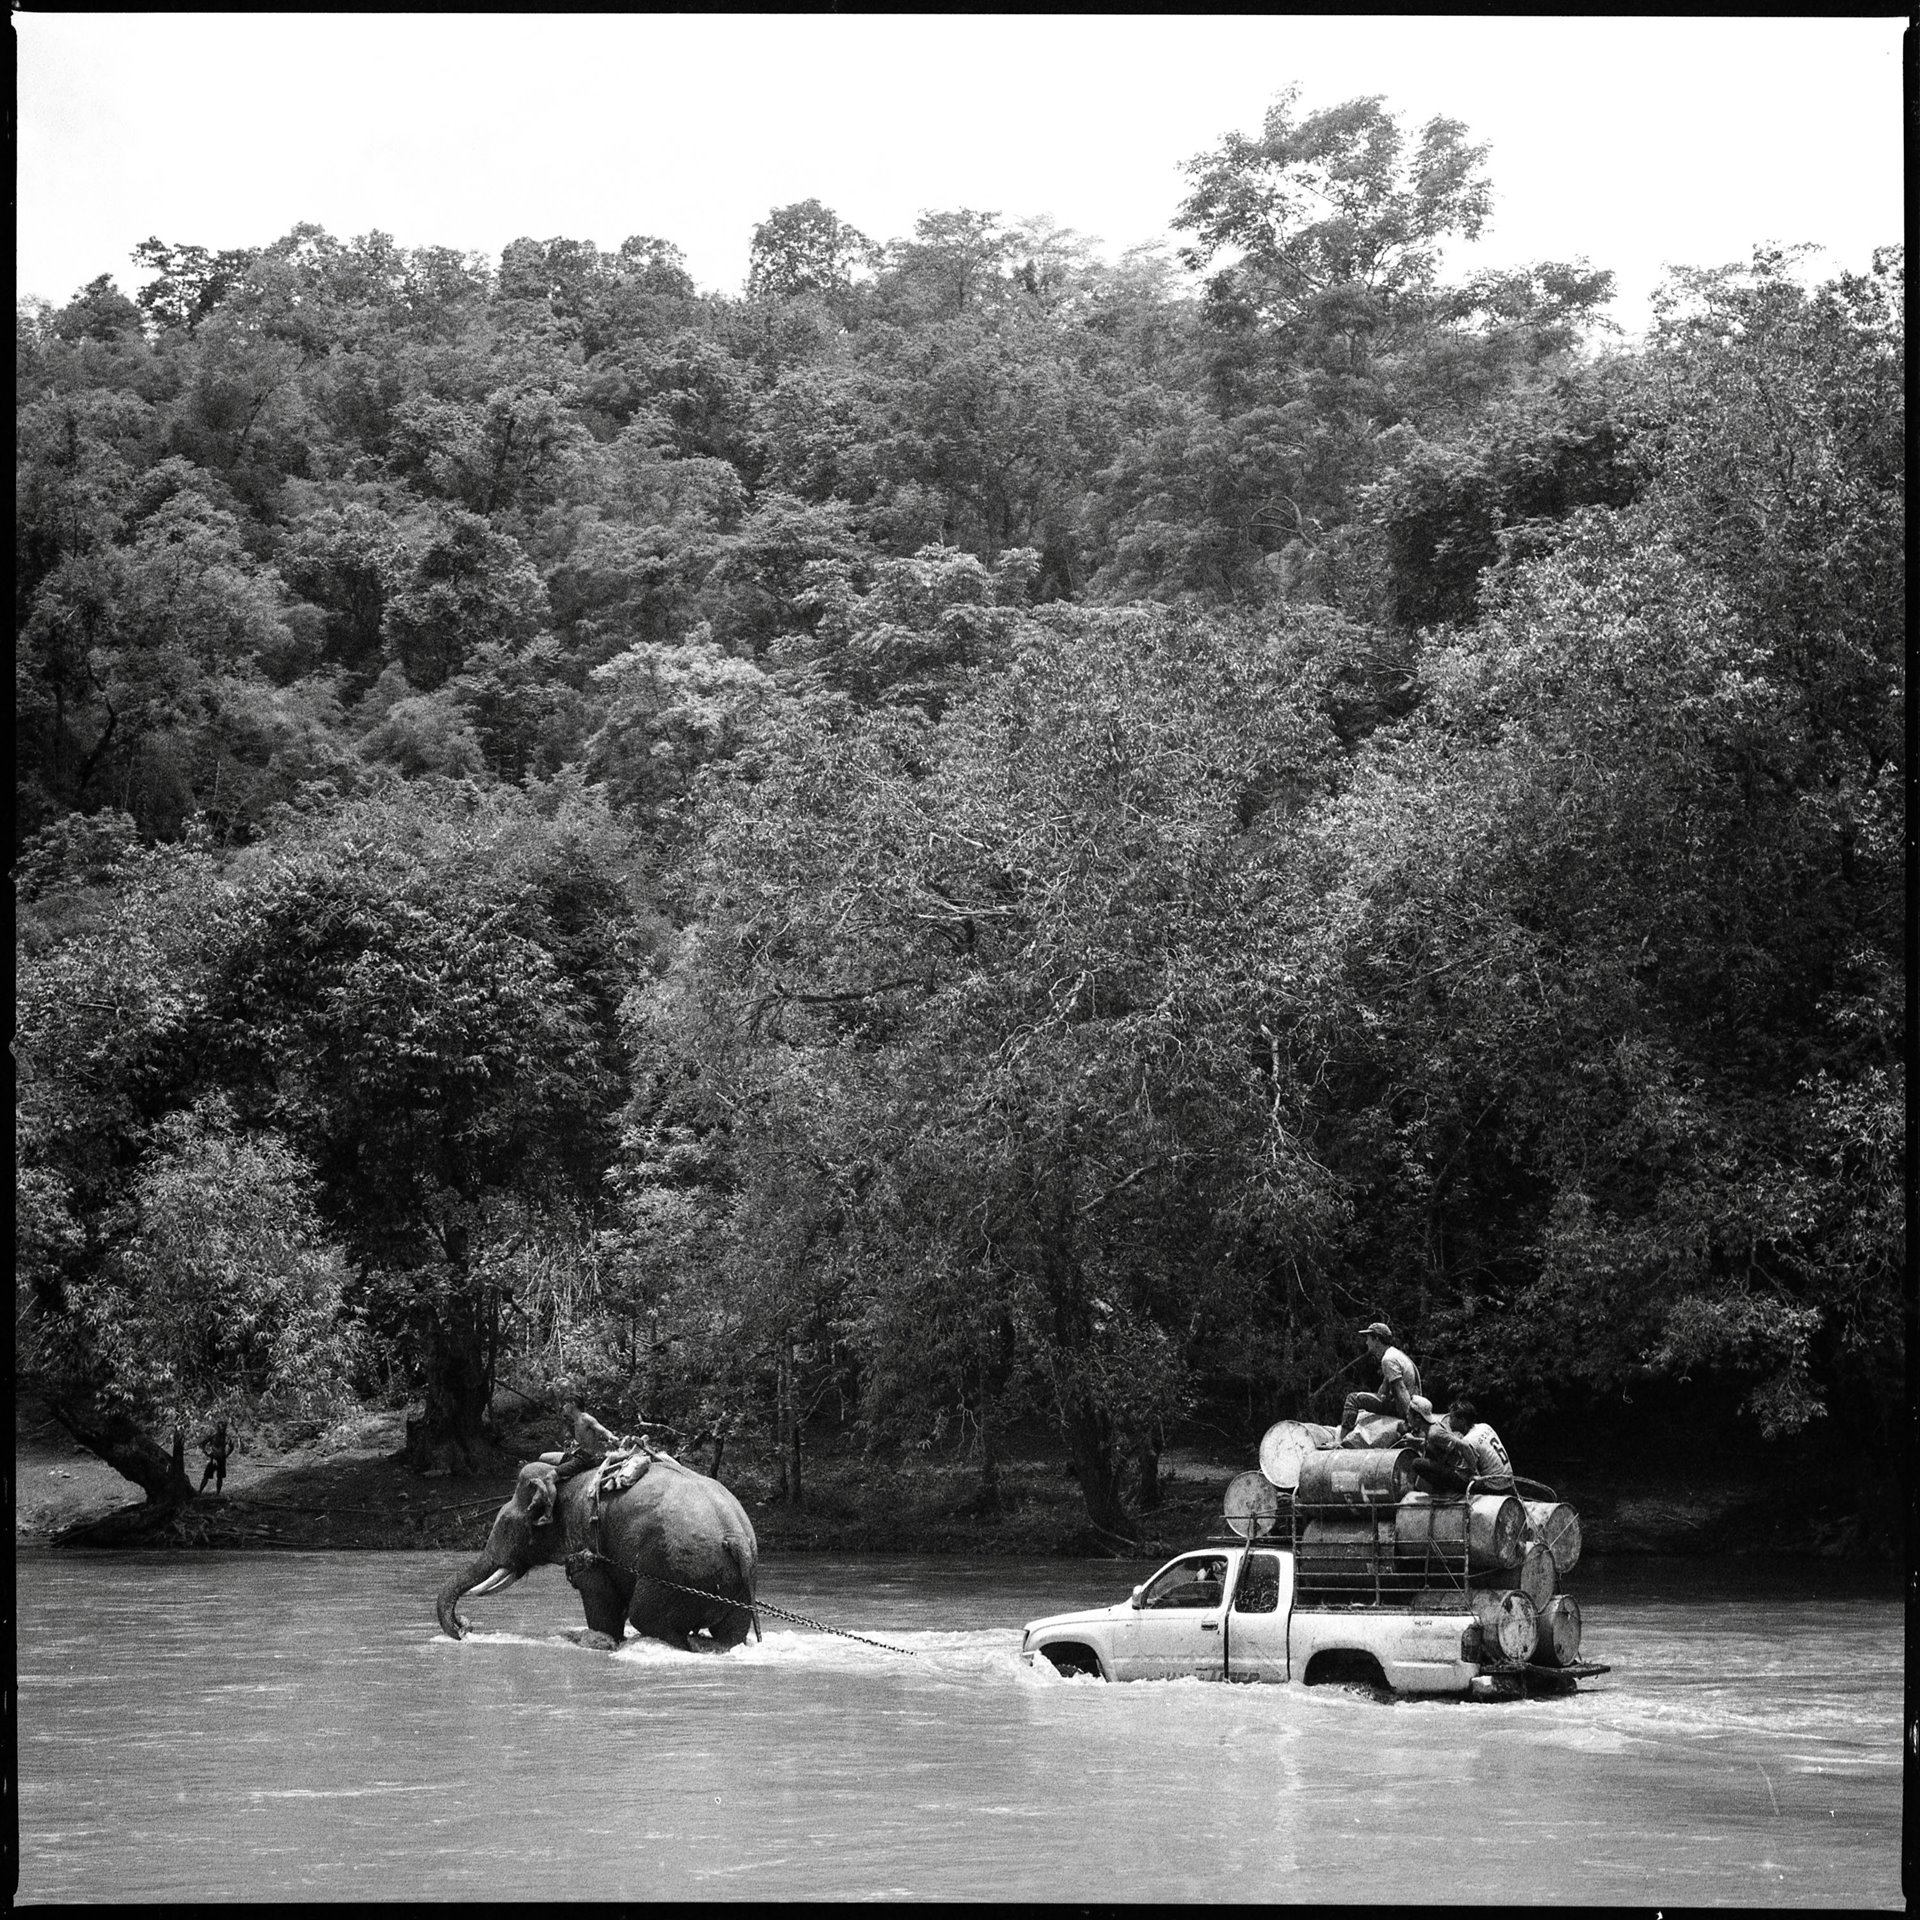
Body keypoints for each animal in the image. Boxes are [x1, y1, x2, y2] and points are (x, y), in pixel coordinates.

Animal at [439, 1451, 760, 1651]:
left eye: (507, 1524)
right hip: (737, 1583)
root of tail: (736, 1537)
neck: (564, 1481)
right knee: (731, 1633)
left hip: (675, 1572)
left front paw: (601, 1640)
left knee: (649, 1619)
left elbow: (598, 1596)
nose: (465, 1627)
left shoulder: (587, 1543)